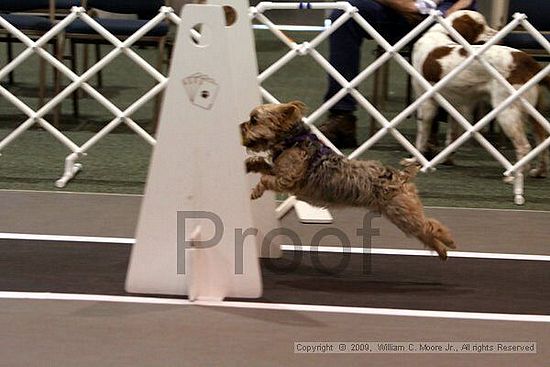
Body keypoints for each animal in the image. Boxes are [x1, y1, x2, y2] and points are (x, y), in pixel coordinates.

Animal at [242, 100, 458, 260]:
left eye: (254, 120)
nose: (241, 126)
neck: (292, 140)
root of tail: (400, 176)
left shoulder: (288, 179)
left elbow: (266, 179)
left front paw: (255, 191)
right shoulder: (277, 168)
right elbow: (262, 163)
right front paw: (249, 164)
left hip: (403, 213)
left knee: (430, 226)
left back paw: (448, 241)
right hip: (400, 215)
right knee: (424, 231)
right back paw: (442, 251)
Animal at [406, 10, 550, 180]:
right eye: (480, 27)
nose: (498, 34)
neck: (441, 33)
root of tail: (527, 61)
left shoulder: (426, 102)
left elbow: (421, 136)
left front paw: (415, 160)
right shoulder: (456, 107)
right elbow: (452, 136)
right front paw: (447, 159)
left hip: (507, 112)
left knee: (524, 145)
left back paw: (514, 175)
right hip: (533, 113)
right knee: (542, 141)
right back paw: (540, 171)